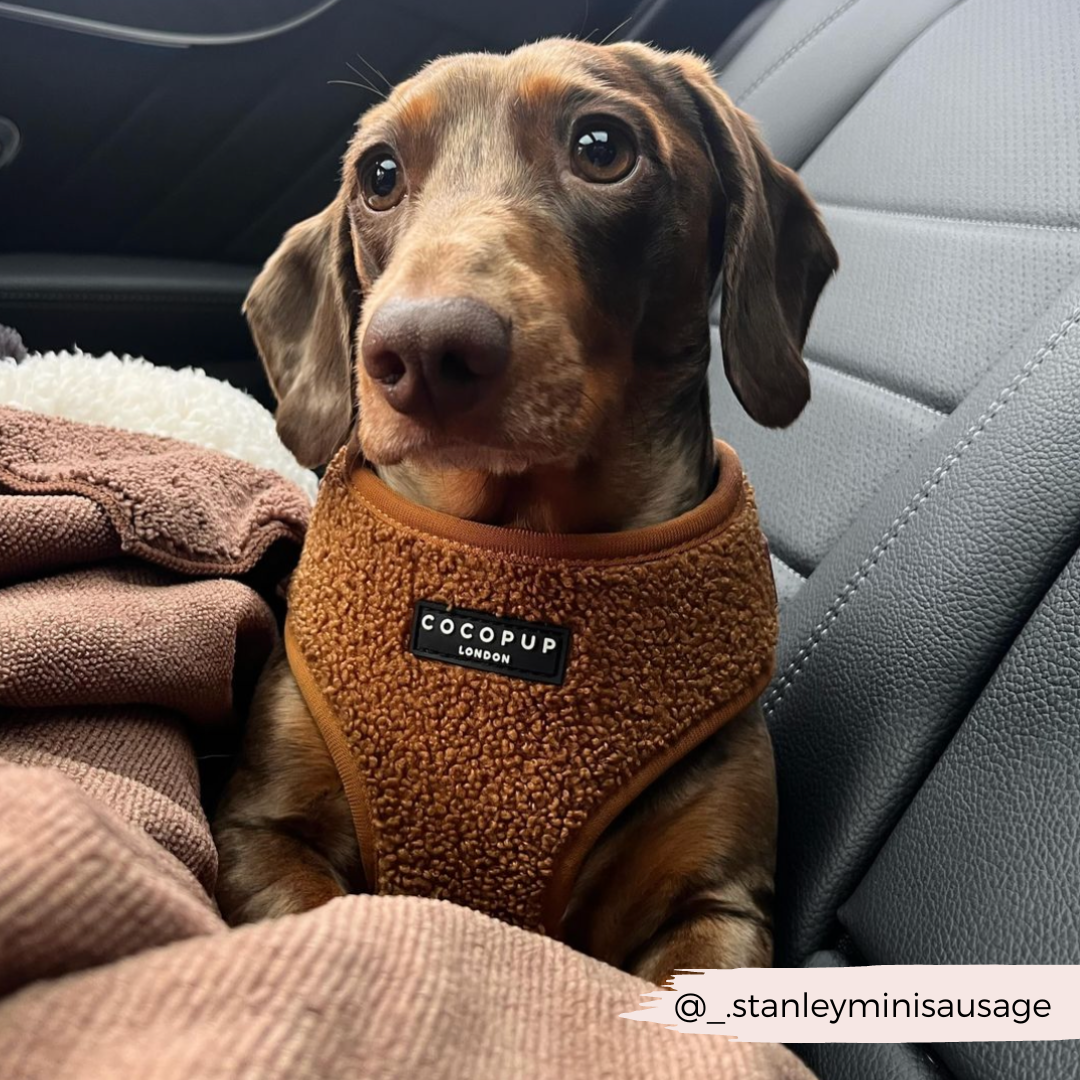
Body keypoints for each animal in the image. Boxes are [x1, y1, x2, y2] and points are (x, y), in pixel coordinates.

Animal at [210, 35, 833, 980]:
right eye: (379, 172)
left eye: (603, 147)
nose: (423, 352)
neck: (517, 536)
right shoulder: (260, 832)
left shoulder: (719, 906)